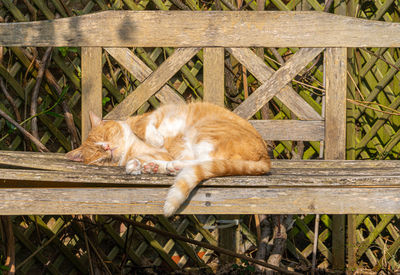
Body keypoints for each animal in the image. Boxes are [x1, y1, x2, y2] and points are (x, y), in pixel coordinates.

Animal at [66, 103, 272, 218]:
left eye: (106, 135)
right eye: (99, 155)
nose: (107, 148)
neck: (131, 146)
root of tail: (266, 158)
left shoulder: (153, 118)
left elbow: (145, 127)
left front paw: (155, 141)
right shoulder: (159, 153)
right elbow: (140, 159)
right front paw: (139, 166)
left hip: (204, 130)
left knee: (203, 161)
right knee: (198, 162)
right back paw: (160, 167)